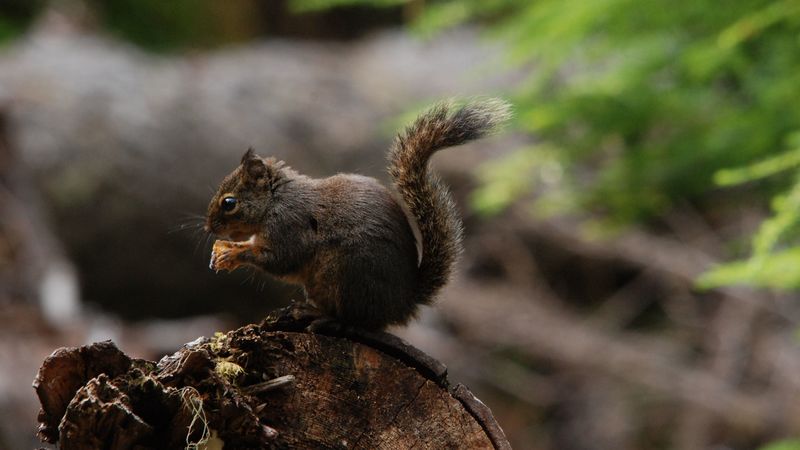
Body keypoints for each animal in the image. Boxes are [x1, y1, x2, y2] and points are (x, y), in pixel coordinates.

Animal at [205, 99, 510, 330]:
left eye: (229, 203)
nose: (209, 229)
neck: (274, 201)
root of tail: (402, 304)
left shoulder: (289, 226)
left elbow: (281, 259)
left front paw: (235, 252)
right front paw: (227, 249)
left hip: (347, 275)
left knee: (356, 322)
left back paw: (323, 317)